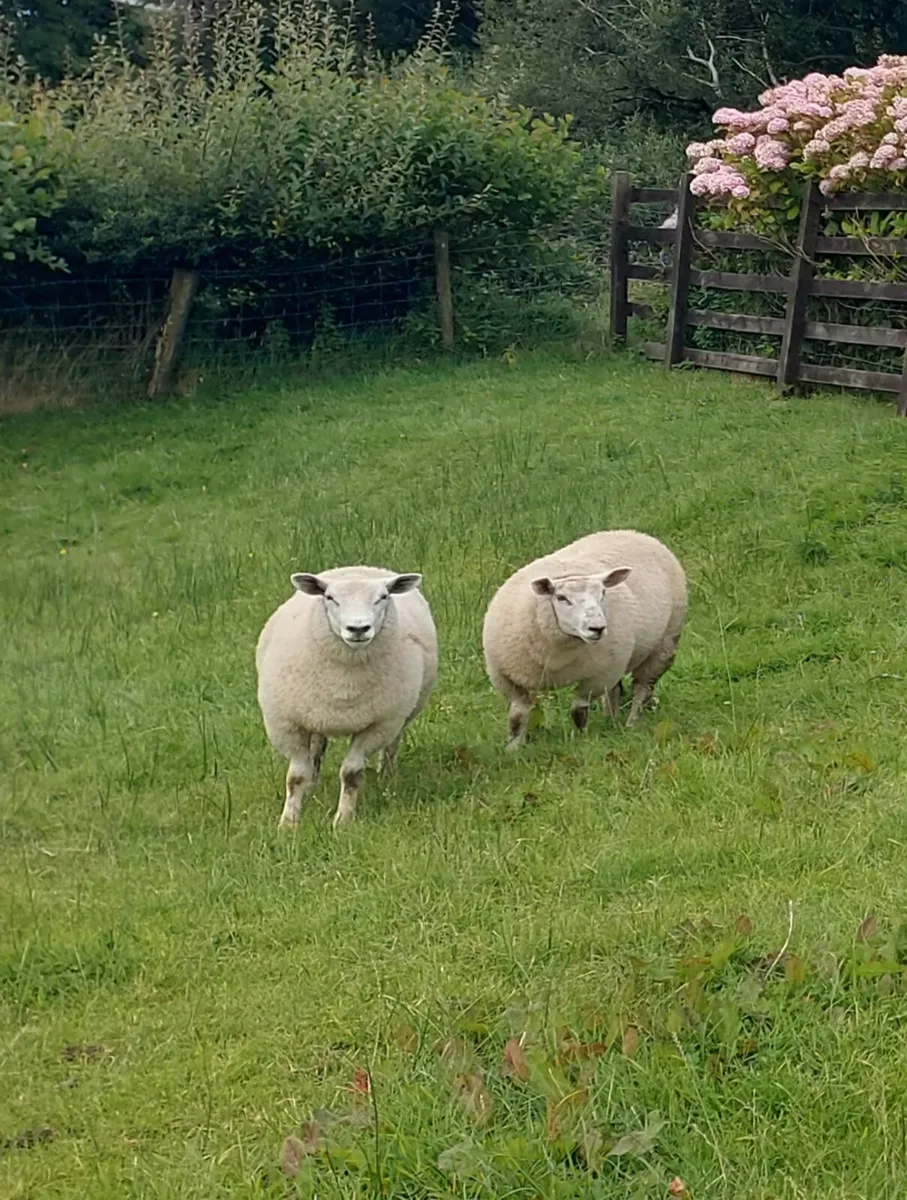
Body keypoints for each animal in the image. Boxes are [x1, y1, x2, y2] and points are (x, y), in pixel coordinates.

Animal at [256, 565, 438, 831]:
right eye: (330, 598)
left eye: (383, 597)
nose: (358, 628)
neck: (344, 683)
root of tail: (363, 566)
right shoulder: (287, 724)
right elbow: (295, 777)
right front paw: (288, 824)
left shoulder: (378, 725)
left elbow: (351, 774)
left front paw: (343, 820)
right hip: (316, 715)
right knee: (316, 749)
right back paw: (312, 783)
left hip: (400, 714)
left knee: (392, 744)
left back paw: (387, 775)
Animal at [482, 530, 686, 750]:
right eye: (561, 597)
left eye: (603, 593)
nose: (597, 628)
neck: (556, 660)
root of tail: (632, 532)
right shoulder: (505, 678)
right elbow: (517, 718)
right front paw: (513, 749)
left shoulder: (599, 676)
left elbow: (578, 712)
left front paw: (580, 740)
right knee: (615, 691)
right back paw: (611, 720)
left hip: (663, 644)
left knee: (641, 687)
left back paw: (631, 723)